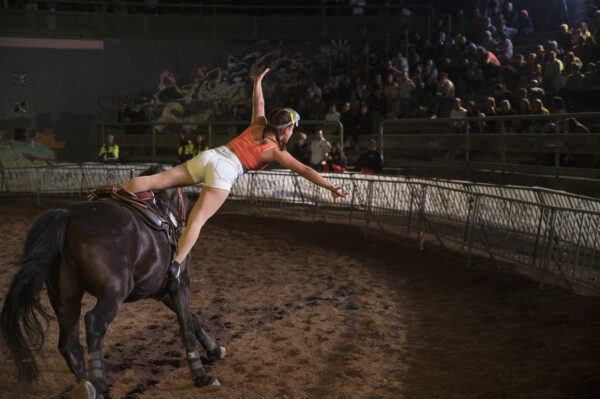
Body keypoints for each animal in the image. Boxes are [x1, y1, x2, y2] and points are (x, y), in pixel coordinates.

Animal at [0, 167, 225, 398]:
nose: (183, 220)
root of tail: (68, 216)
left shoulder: (161, 290)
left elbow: (192, 318)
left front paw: (215, 349)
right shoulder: (180, 283)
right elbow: (186, 325)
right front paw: (201, 375)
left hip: (65, 297)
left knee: (69, 344)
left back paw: (87, 386)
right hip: (114, 292)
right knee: (93, 323)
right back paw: (99, 383)